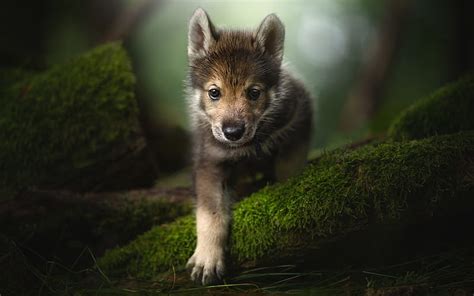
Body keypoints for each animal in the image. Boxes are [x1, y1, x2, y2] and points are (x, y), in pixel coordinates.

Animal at [186, 8, 314, 284]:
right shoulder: (210, 163)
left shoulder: (299, 118)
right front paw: (207, 258)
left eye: (254, 93)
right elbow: (210, 214)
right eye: (214, 92)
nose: (232, 132)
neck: (248, 147)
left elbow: (289, 169)